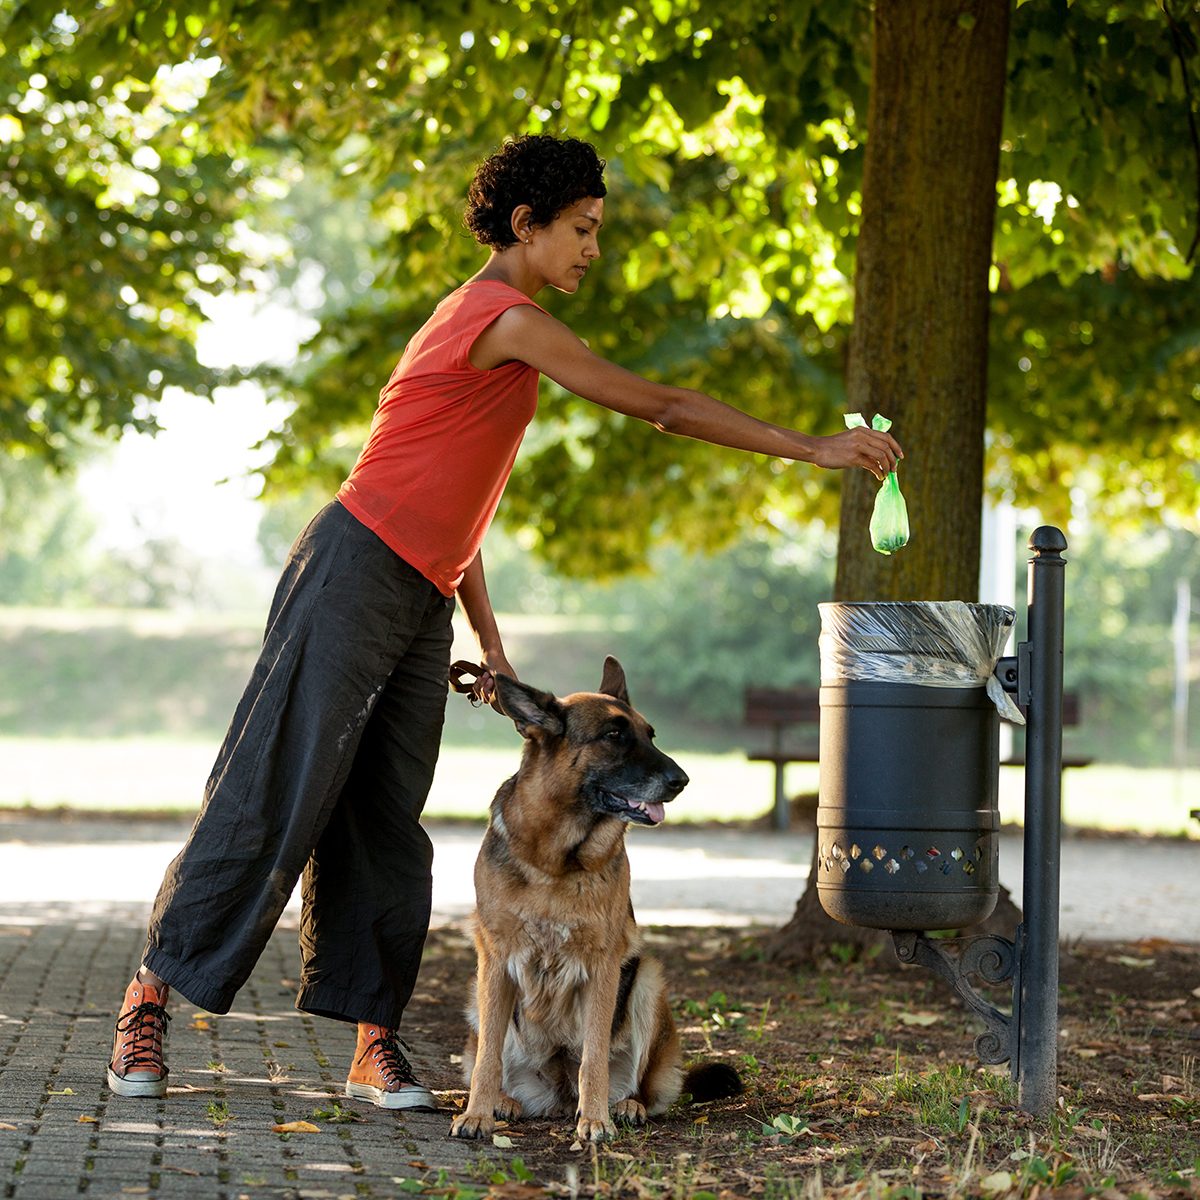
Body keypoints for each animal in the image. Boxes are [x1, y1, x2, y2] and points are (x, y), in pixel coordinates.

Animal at [451, 657, 739, 1142]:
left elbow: (594, 1058)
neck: (555, 860)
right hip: (478, 992)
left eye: (650, 735)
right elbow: (488, 1056)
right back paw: (505, 1102)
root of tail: (559, 1094)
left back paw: (624, 1105)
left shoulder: (603, 964)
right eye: (614, 735)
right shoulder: (494, 960)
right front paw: (477, 1114)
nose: (682, 781)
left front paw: (596, 1120)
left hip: (647, 981)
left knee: (636, 1082)